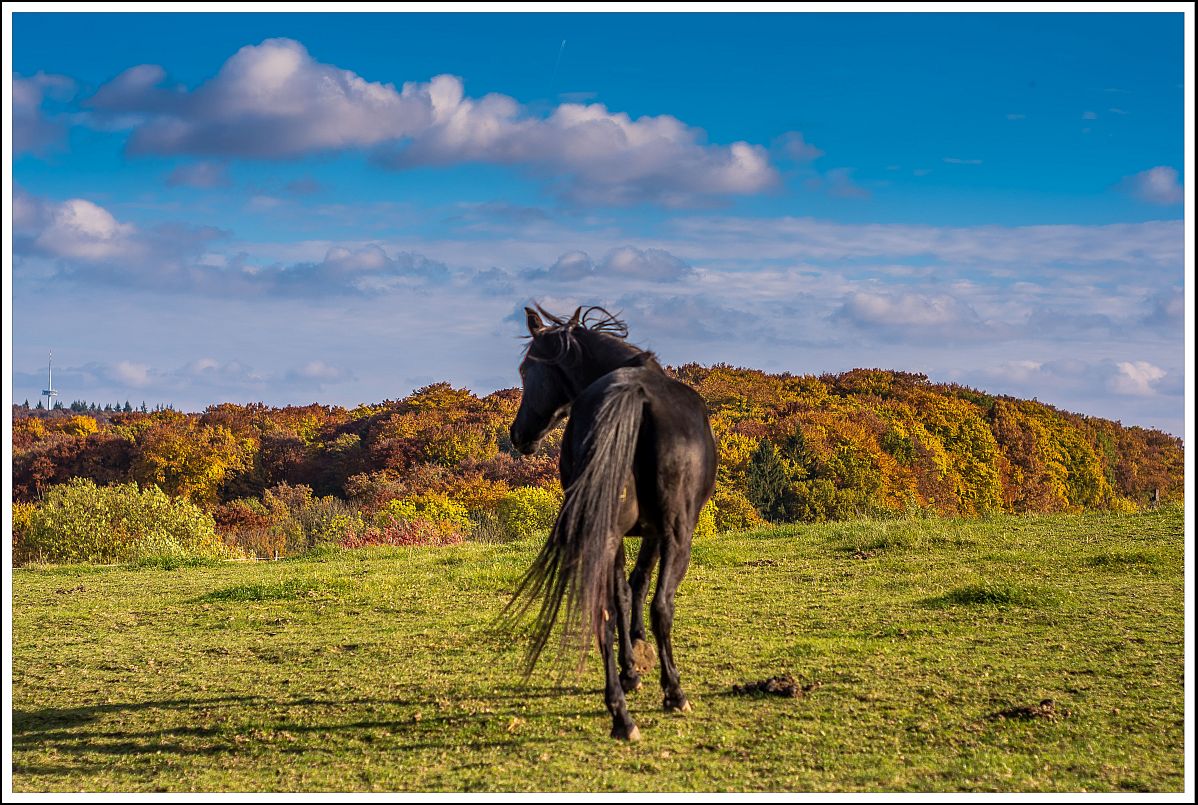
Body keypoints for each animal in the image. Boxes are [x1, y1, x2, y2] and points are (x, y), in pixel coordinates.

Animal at [503, 303, 714, 742]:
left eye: (525, 370)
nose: (518, 435)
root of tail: (636, 395)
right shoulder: (656, 534)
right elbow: (640, 584)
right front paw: (639, 659)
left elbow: (621, 594)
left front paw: (630, 670)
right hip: (676, 534)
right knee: (661, 606)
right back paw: (672, 692)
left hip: (606, 532)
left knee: (602, 612)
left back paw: (620, 712)